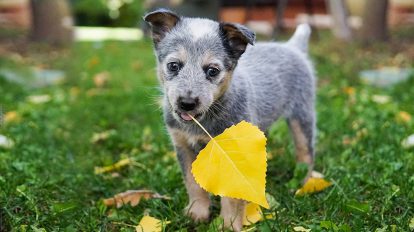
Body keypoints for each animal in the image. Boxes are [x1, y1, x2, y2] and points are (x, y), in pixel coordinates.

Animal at [144, 8, 316, 230]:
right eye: (174, 66)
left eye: (212, 70)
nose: (187, 103)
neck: (205, 122)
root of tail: (292, 47)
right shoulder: (183, 145)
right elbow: (192, 184)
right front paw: (197, 213)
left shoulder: (234, 153)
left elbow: (233, 196)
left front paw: (228, 224)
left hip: (302, 114)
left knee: (306, 152)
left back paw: (304, 184)